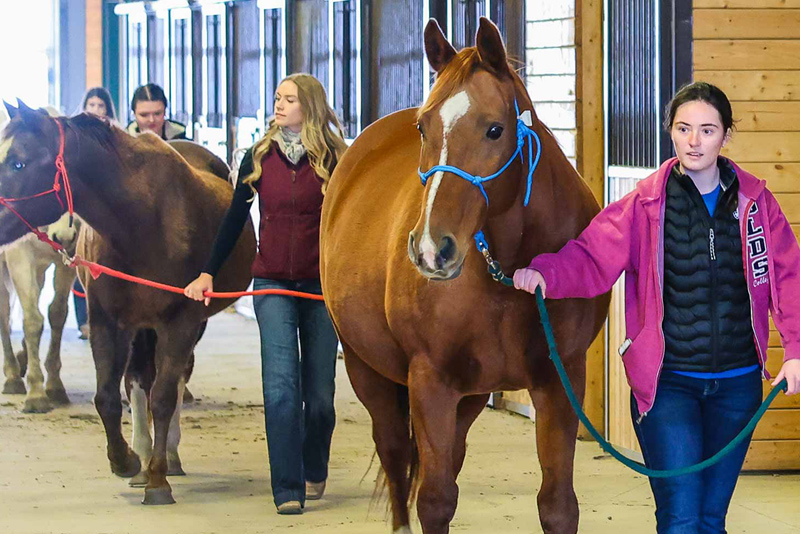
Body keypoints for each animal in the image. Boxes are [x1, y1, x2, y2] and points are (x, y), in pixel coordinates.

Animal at [0, 107, 255, 508]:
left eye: (18, 162)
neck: (141, 221)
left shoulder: (181, 321)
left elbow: (164, 396)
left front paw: (158, 480)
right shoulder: (109, 321)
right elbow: (108, 396)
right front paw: (127, 461)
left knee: (174, 378)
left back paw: (168, 456)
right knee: (137, 379)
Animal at [322, 18, 608, 532]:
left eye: (495, 129)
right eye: (423, 127)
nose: (431, 249)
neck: (508, 273)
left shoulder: (561, 382)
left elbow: (557, 505)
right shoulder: (430, 381)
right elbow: (435, 500)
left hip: (470, 396)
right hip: (366, 369)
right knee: (397, 463)